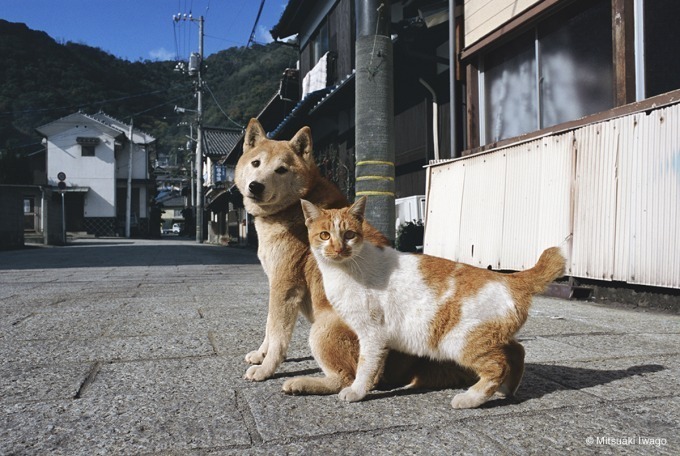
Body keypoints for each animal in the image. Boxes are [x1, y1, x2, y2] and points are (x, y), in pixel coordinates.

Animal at [236, 119, 476, 394]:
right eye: (256, 163)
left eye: (281, 170)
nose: (255, 186)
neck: (293, 207)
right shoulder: (276, 284)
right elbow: (269, 326)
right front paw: (260, 354)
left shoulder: (285, 285)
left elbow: (277, 335)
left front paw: (266, 369)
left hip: (322, 329)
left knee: (347, 379)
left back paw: (302, 383)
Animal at [300, 197, 564, 410]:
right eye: (325, 235)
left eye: (349, 235)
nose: (338, 249)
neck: (343, 270)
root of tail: (510, 277)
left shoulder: (372, 334)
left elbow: (366, 367)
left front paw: (356, 391)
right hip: (491, 337)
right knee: (517, 351)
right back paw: (507, 391)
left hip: (460, 341)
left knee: (497, 366)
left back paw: (470, 399)